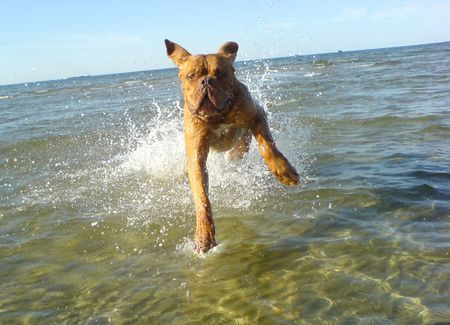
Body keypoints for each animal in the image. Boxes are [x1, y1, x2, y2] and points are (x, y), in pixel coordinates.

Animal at [165, 39, 298, 253]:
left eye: (221, 74)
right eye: (191, 76)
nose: (207, 81)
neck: (217, 116)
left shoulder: (257, 115)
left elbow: (267, 146)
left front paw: (283, 170)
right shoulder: (196, 158)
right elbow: (202, 198)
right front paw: (204, 236)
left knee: (241, 148)